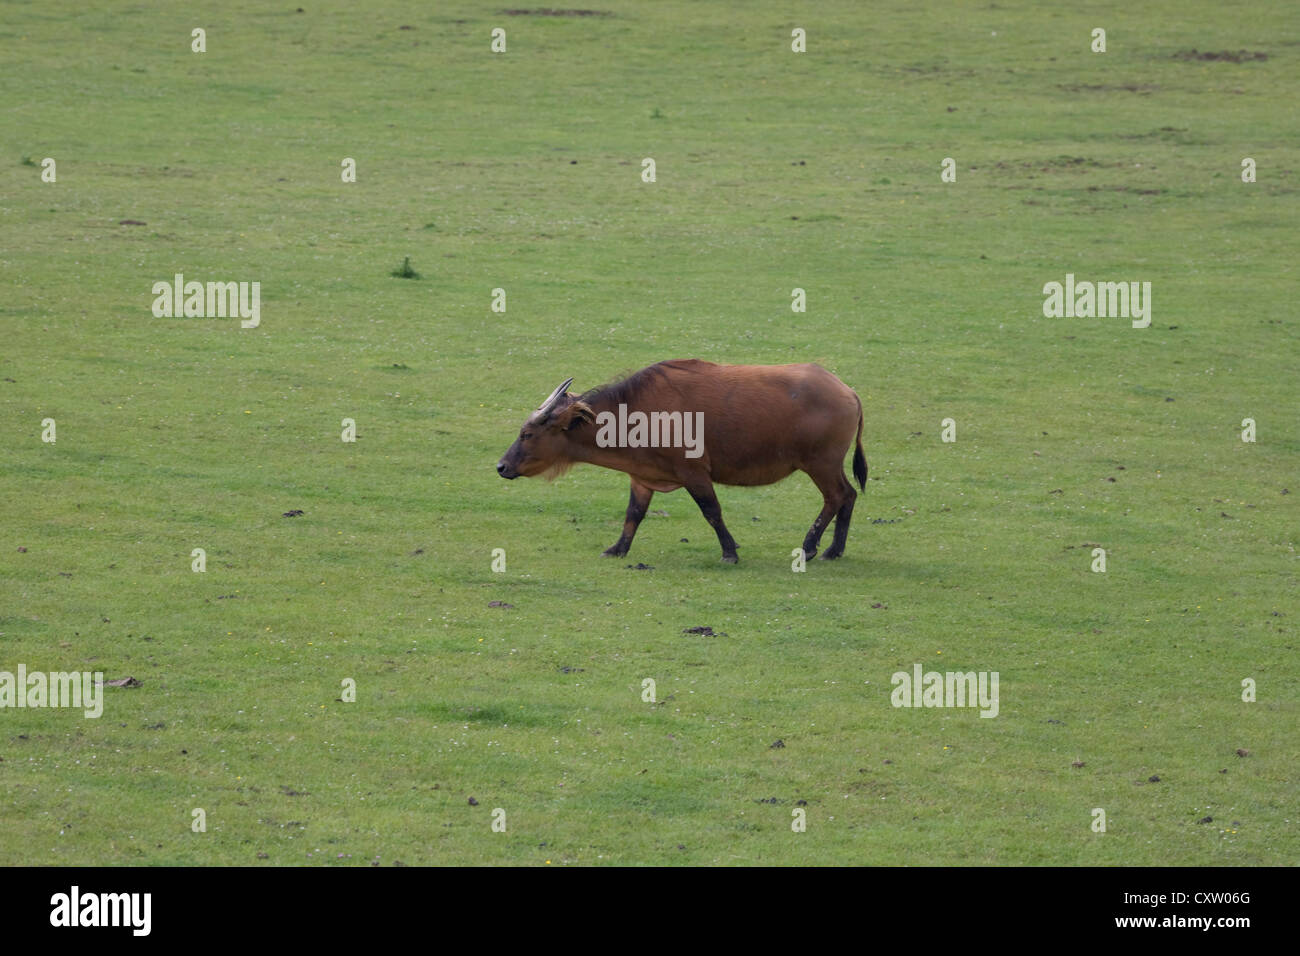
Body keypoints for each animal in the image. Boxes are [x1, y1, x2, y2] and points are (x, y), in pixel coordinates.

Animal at [501, 361, 868, 564]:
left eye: (527, 434)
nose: (501, 467)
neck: (638, 412)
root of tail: (847, 392)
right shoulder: (642, 477)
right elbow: (633, 515)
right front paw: (618, 549)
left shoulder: (695, 474)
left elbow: (712, 512)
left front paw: (729, 552)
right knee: (849, 495)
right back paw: (834, 550)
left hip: (820, 464)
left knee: (836, 497)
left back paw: (810, 547)